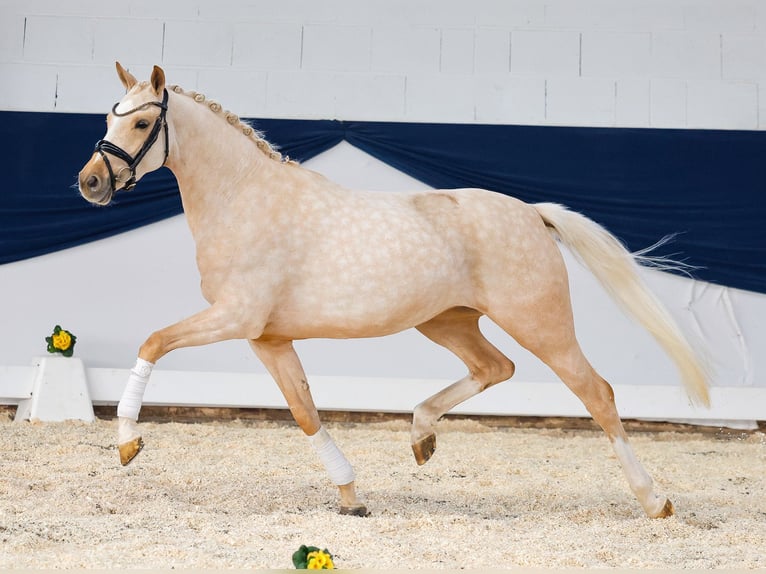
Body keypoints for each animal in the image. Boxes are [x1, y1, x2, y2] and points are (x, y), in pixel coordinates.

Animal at [79, 64, 712, 520]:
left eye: (141, 124)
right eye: (108, 118)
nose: (90, 183)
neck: (244, 198)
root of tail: (532, 213)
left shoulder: (234, 317)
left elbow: (153, 341)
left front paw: (128, 443)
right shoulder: (268, 337)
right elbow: (305, 411)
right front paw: (352, 497)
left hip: (540, 323)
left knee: (595, 393)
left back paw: (655, 500)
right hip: (447, 321)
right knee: (495, 367)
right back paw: (421, 435)